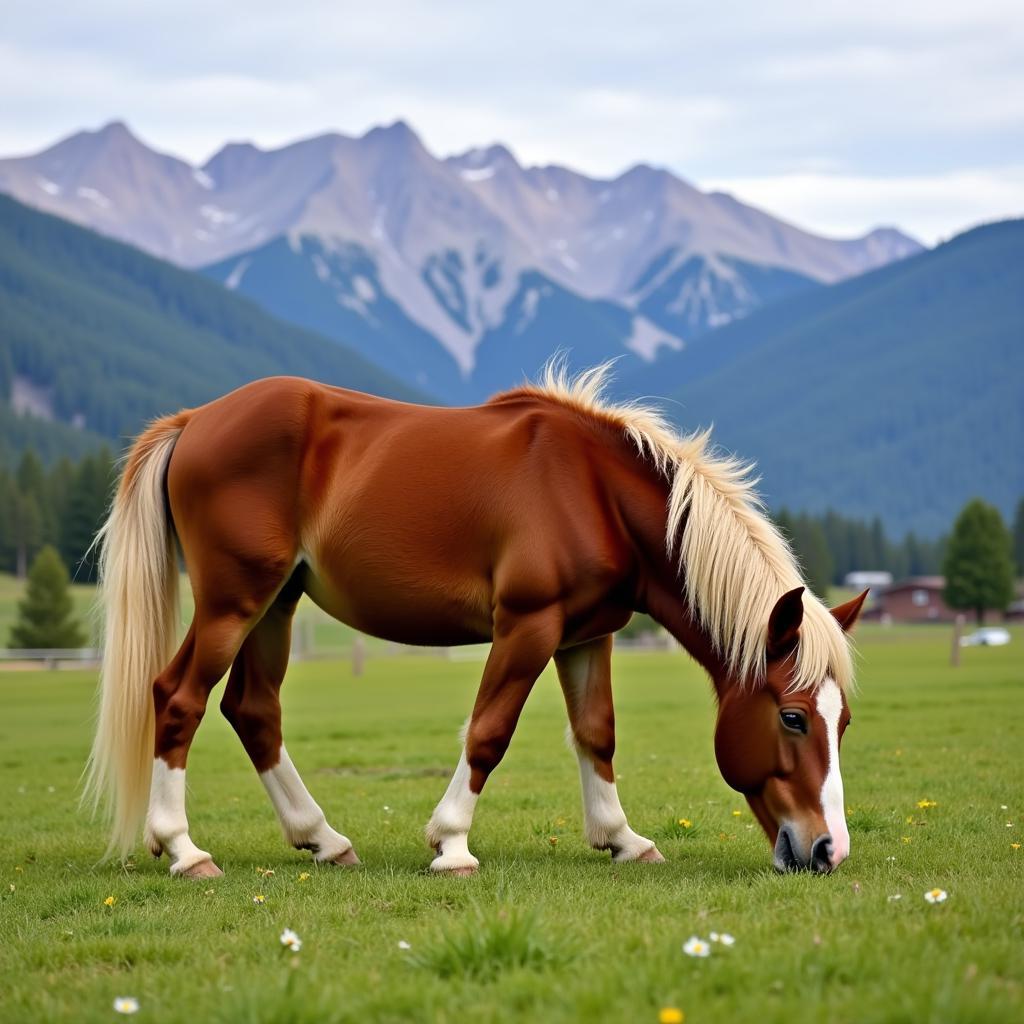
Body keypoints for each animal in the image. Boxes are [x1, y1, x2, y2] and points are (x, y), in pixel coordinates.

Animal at [86, 364, 864, 876]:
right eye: (793, 718)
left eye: (844, 721)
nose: (829, 850)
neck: (594, 491)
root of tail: (195, 421)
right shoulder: (527, 626)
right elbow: (489, 732)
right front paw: (452, 843)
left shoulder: (586, 635)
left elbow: (597, 734)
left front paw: (622, 838)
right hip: (233, 603)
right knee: (179, 698)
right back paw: (184, 849)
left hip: (276, 605)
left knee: (253, 711)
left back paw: (323, 838)